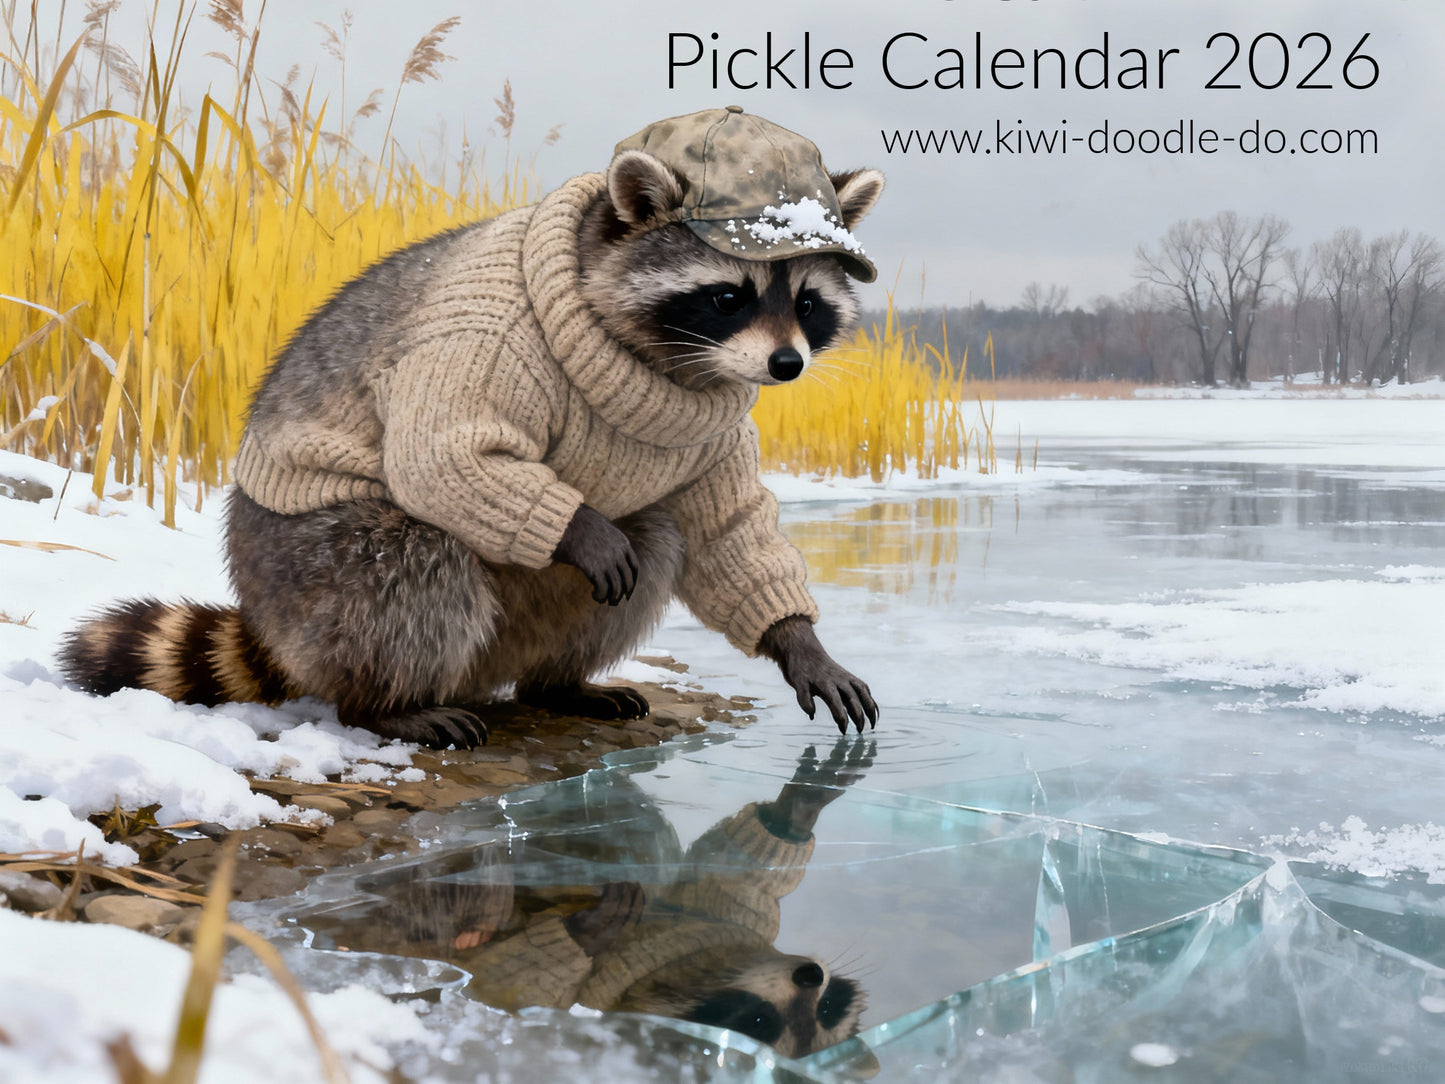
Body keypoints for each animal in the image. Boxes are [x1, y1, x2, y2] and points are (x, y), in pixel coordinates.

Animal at [60, 108, 883, 749]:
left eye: (807, 303)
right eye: (727, 296)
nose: (786, 365)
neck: (660, 366)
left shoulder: (717, 417)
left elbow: (727, 526)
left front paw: (798, 642)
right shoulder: (485, 339)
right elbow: (442, 454)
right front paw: (577, 525)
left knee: (657, 537)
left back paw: (556, 682)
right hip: (307, 568)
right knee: (411, 567)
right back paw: (384, 704)